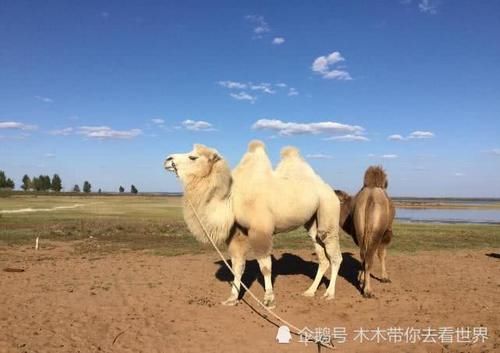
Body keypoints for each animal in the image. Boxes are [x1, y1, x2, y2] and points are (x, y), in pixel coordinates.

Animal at [166, 140, 342, 306]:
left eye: (193, 157)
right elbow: (237, 267)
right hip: (312, 223)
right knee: (322, 256)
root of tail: (329, 189)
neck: (232, 199)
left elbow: (265, 267)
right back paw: (310, 292)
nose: (167, 159)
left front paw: (269, 299)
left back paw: (330, 294)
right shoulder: (237, 232)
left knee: (335, 256)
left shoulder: (260, 231)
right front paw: (232, 298)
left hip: (328, 211)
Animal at [336, 166, 394, 296]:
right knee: (369, 257)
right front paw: (385, 278)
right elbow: (382, 254)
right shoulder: (386, 233)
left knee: (364, 255)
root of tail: (370, 197)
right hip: (376, 232)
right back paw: (368, 291)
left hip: (360, 227)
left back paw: (363, 285)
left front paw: (361, 279)